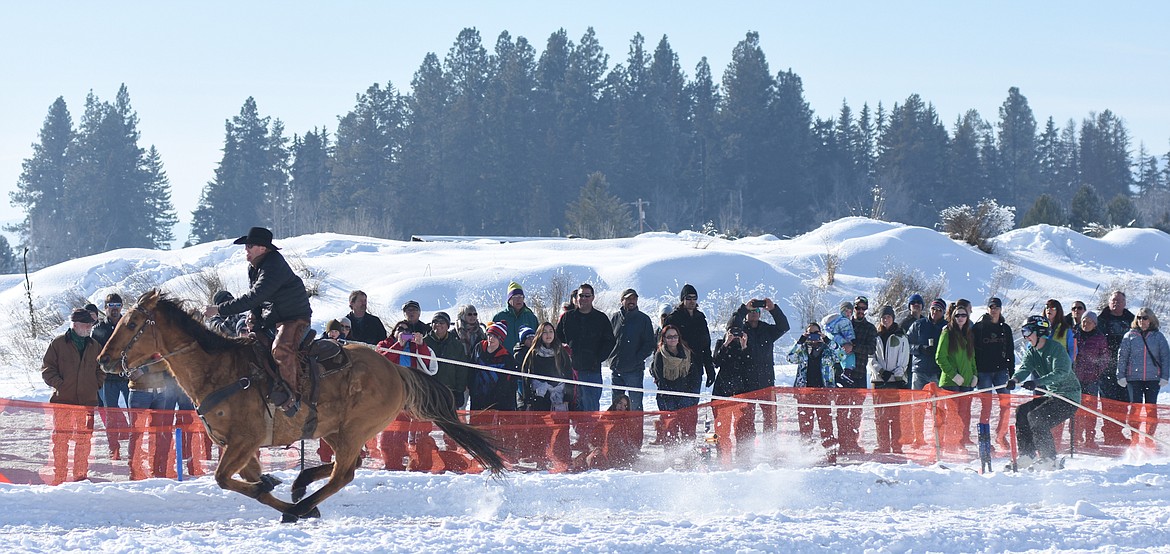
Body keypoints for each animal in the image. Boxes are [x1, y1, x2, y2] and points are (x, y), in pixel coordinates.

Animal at [98, 289, 505, 523]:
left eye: (132, 323)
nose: (104, 359)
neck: (218, 370)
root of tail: (396, 368)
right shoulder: (236, 445)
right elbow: (252, 480)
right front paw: (275, 486)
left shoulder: (244, 441)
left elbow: (225, 479)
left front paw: (288, 503)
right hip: (340, 431)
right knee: (348, 465)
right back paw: (301, 489)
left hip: (353, 429)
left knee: (344, 473)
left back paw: (300, 503)